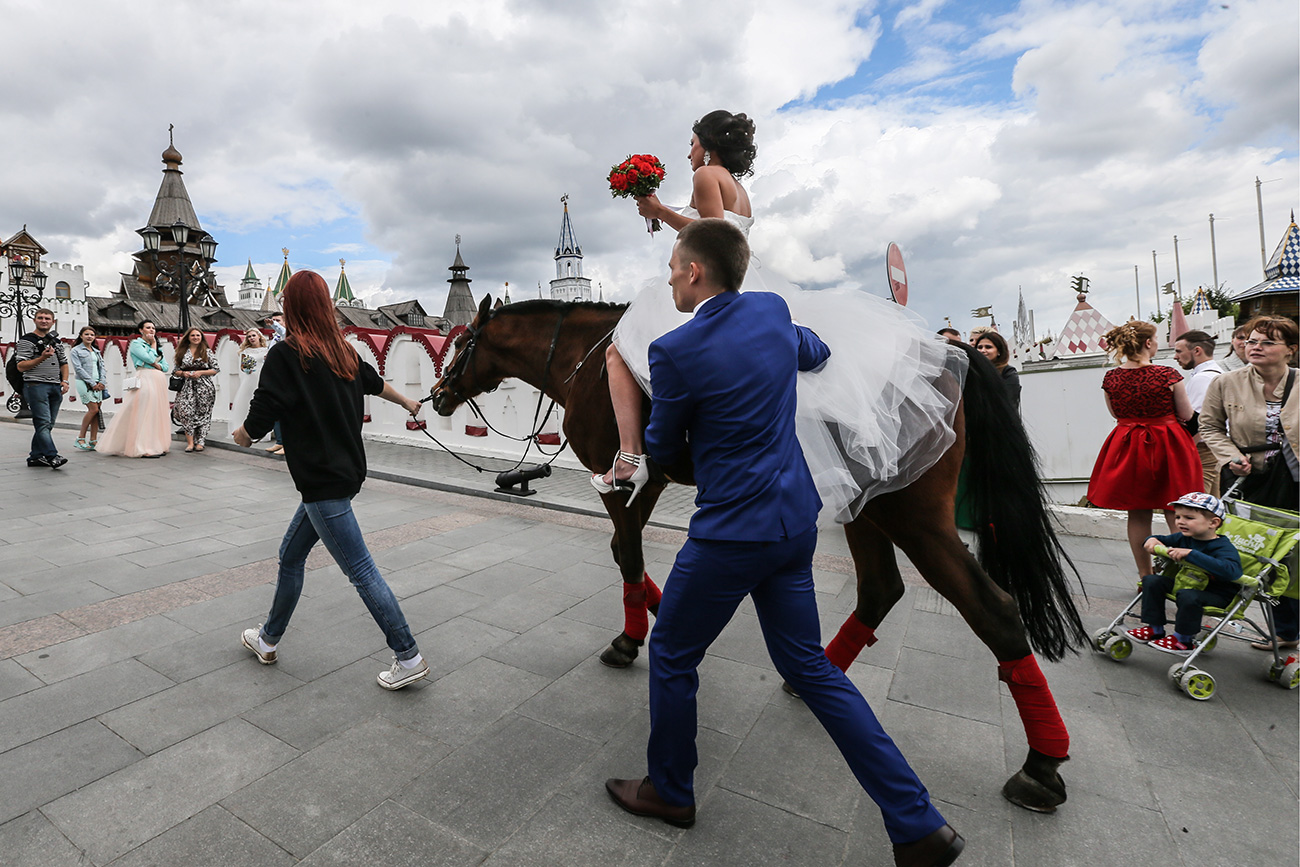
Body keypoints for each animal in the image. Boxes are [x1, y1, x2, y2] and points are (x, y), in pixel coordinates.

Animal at [434, 296, 1086, 816]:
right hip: (866, 504)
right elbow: (628, 552)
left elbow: (627, 554)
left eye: (463, 342)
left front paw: (631, 638)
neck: (589, 361)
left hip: (914, 515)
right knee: (881, 588)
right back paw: (815, 676)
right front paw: (661, 617)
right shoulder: (651, 479)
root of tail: (948, 358)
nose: (437, 395)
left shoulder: (618, 477)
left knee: (993, 609)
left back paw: (1040, 765)